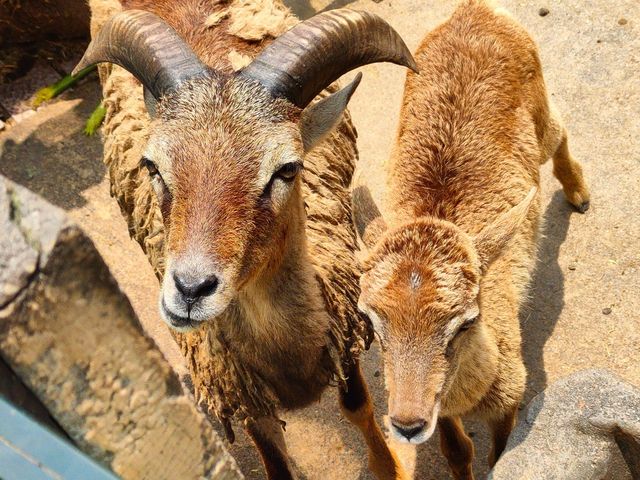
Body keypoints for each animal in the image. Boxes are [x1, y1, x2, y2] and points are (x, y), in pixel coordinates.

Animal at [77, 0, 418, 480]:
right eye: (152, 165)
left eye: (288, 168)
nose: (190, 290)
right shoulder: (241, 391)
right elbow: (272, 455)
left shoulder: (342, 325)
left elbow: (358, 407)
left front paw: (389, 467)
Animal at [352, 1, 588, 478]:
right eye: (370, 318)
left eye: (465, 321)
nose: (406, 423)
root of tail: (474, 10)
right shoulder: (441, 412)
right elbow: (458, 450)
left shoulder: (512, 393)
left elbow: (502, 455)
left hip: (541, 109)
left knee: (560, 131)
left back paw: (578, 193)